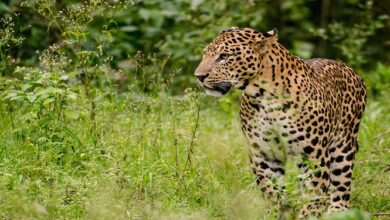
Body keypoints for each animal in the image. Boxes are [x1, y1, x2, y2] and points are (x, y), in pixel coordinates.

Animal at [193, 26, 368, 217]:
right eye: (205, 54)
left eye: (224, 56)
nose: (199, 76)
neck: (264, 97)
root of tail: (349, 68)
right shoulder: (263, 155)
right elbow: (272, 191)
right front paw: (276, 213)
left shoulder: (314, 155)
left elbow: (313, 194)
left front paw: (307, 216)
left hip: (343, 147)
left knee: (341, 186)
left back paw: (337, 212)